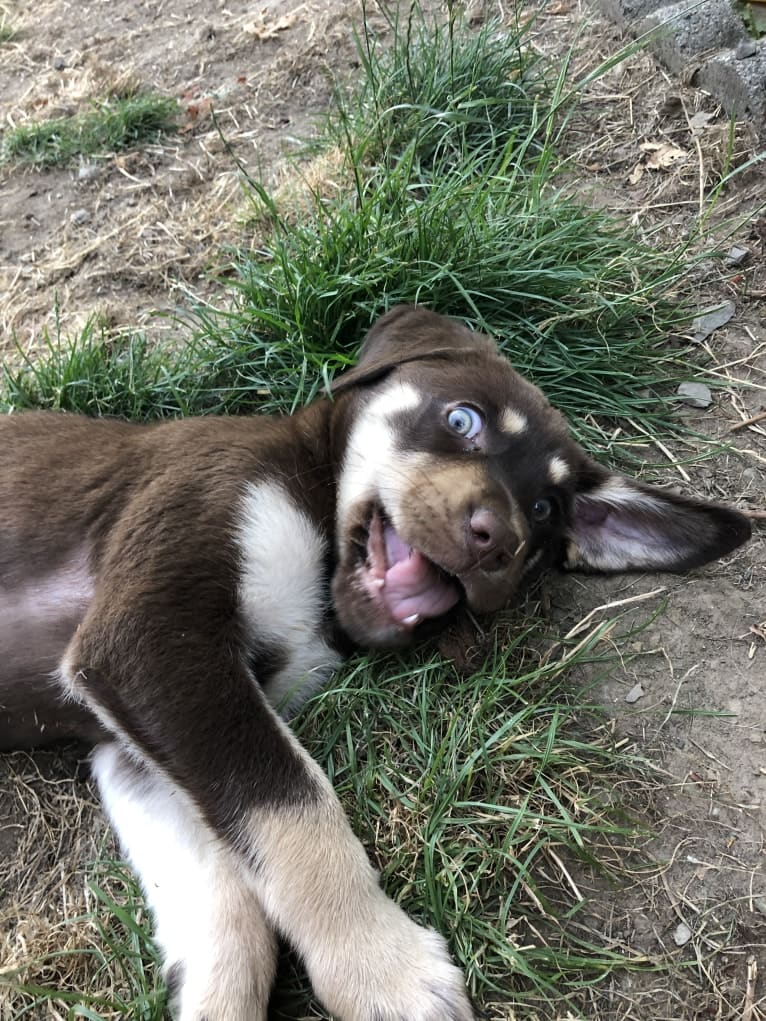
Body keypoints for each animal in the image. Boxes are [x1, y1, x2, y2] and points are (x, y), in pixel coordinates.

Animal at [0, 304, 755, 1021]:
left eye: (545, 508)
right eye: (461, 418)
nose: (499, 544)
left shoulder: (138, 745)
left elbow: (226, 900)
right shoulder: (152, 632)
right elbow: (298, 811)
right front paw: (383, 968)